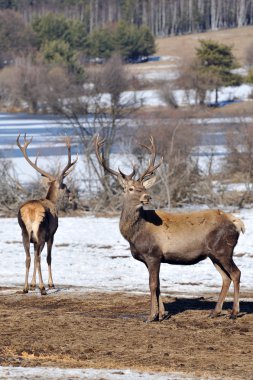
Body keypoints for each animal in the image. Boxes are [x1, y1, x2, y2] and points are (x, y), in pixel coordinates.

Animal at [17, 135, 77, 296]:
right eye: (65, 186)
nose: (72, 196)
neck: (51, 200)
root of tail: (31, 211)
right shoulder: (52, 234)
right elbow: (49, 258)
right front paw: (50, 284)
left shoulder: (33, 239)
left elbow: (34, 256)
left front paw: (32, 285)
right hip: (41, 232)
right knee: (38, 258)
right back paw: (43, 288)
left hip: (24, 232)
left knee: (28, 257)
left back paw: (25, 288)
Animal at [95, 136, 245, 320]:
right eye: (130, 188)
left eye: (143, 187)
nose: (147, 196)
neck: (135, 234)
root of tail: (237, 222)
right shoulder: (151, 258)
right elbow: (158, 284)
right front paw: (161, 314)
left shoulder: (153, 254)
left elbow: (152, 284)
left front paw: (151, 316)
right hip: (213, 254)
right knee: (226, 277)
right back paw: (215, 311)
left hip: (223, 249)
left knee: (236, 273)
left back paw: (234, 312)